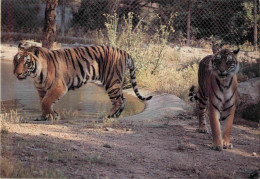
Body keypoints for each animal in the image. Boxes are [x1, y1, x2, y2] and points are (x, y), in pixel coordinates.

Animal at [13, 43, 152, 120]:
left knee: (118, 101)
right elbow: (43, 103)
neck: (36, 75)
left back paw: (107, 116)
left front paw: (53, 116)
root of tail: (124, 52)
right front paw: (45, 117)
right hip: (116, 83)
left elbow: (46, 102)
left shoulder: (59, 87)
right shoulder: (42, 90)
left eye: (26, 62)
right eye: (16, 61)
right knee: (123, 99)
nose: (17, 73)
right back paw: (115, 116)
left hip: (111, 81)